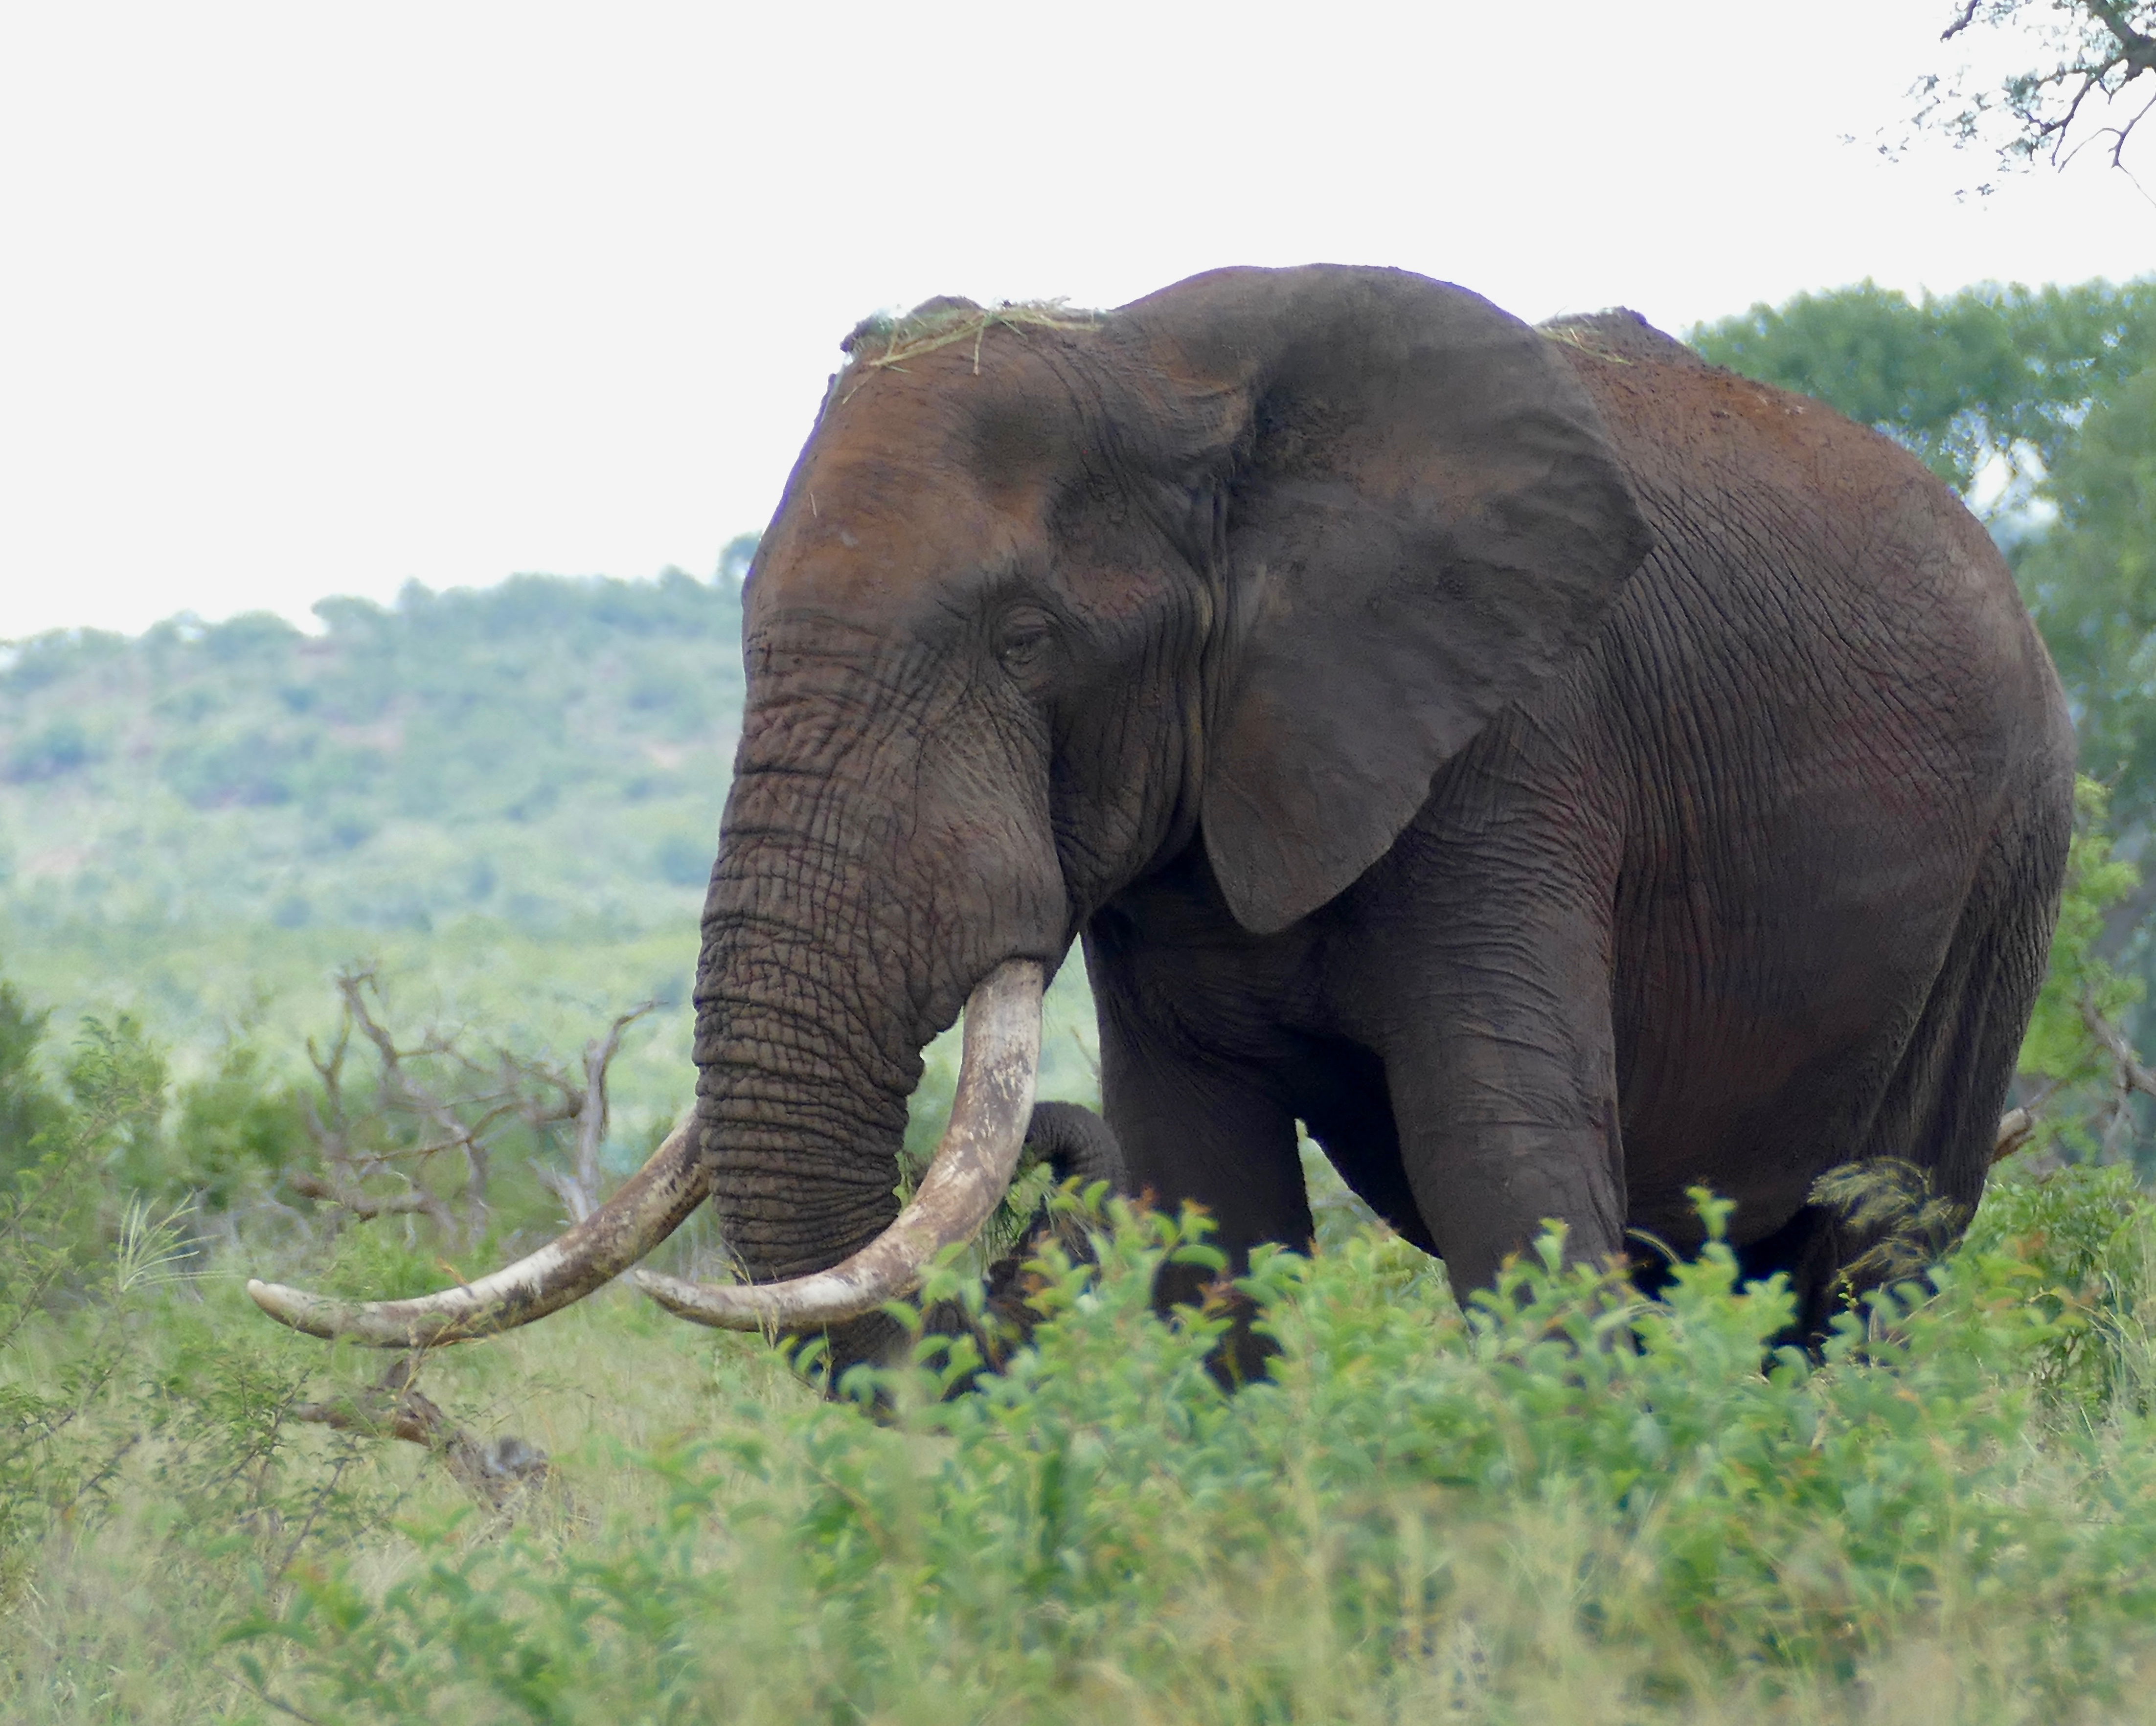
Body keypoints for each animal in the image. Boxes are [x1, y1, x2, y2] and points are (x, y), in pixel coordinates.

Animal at [252, 263, 2069, 1379]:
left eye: (1024, 642)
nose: (1048, 1165)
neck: (1158, 366)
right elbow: (1210, 1205)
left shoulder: (1515, 747)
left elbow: (1508, 1179)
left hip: (2008, 865)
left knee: (1865, 1264)